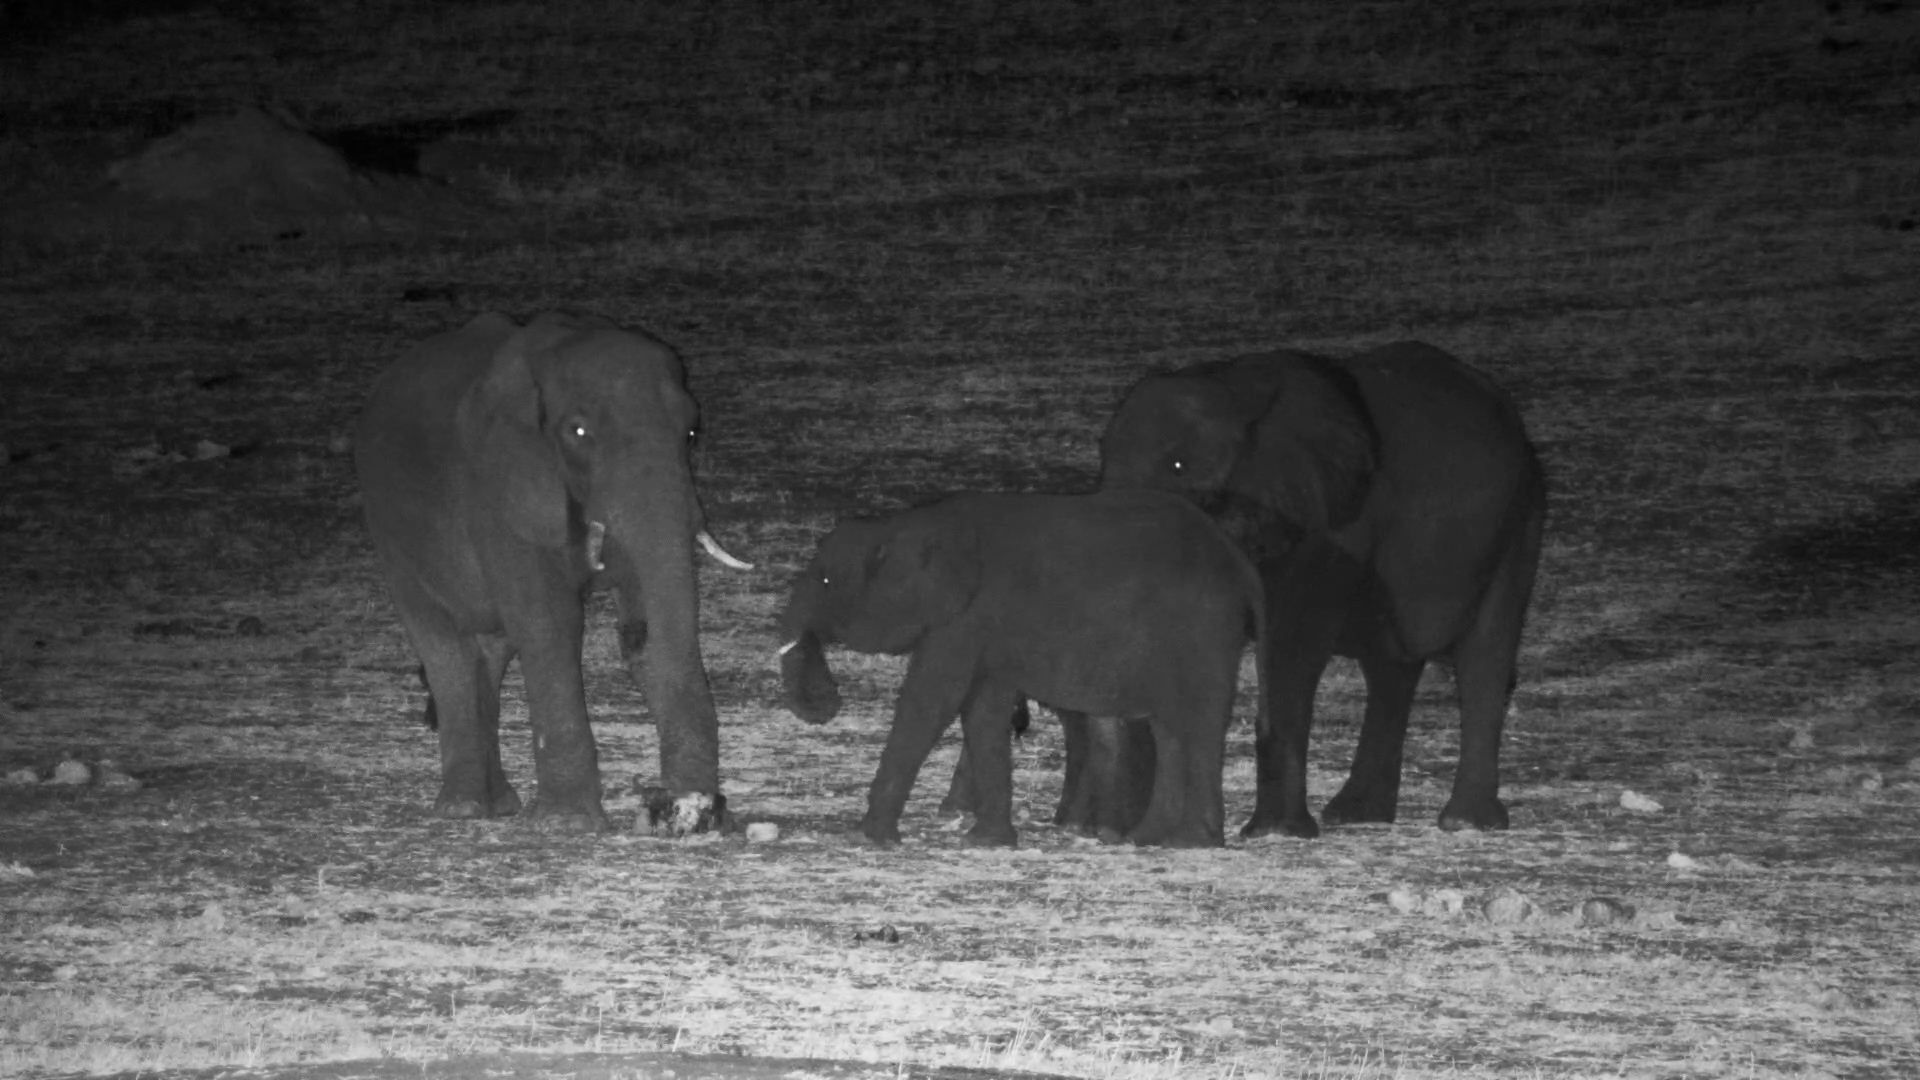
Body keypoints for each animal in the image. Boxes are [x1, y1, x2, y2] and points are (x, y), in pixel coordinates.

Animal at [354, 311, 751, 833]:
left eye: (689, 434)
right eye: (578, 433)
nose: (701, 807)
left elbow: (644, 628)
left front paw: (689, 812)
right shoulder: (499, 494)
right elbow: (550, 623)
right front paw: (568, 824)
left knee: (489, 650)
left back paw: (499, 805)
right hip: (388, 531)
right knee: (445, 649)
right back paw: (464, 808)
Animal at [776, 490, 1265, 848]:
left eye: (825, 580)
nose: (828, 696)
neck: (904, 524)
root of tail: (1240, 561)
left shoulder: (963, 619)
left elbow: (930, 701)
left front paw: (871, 838)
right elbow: (982, 709)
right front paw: (986, 842)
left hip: (1204, 630)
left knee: (1200, 724)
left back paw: (1191, 843)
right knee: (1170, 729)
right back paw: (1144, 838)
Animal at [1099, 341, 1545, 839]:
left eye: (1178, 466)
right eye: (1101, 460)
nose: (1112, 833)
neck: (1236, 394)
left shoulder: (1326, 527)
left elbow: (1291, 649)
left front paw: (1275, 833)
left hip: (1518, 522)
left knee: (1485, 654)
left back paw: (1465, 822)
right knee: (1391, 667)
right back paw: (1358, 814)